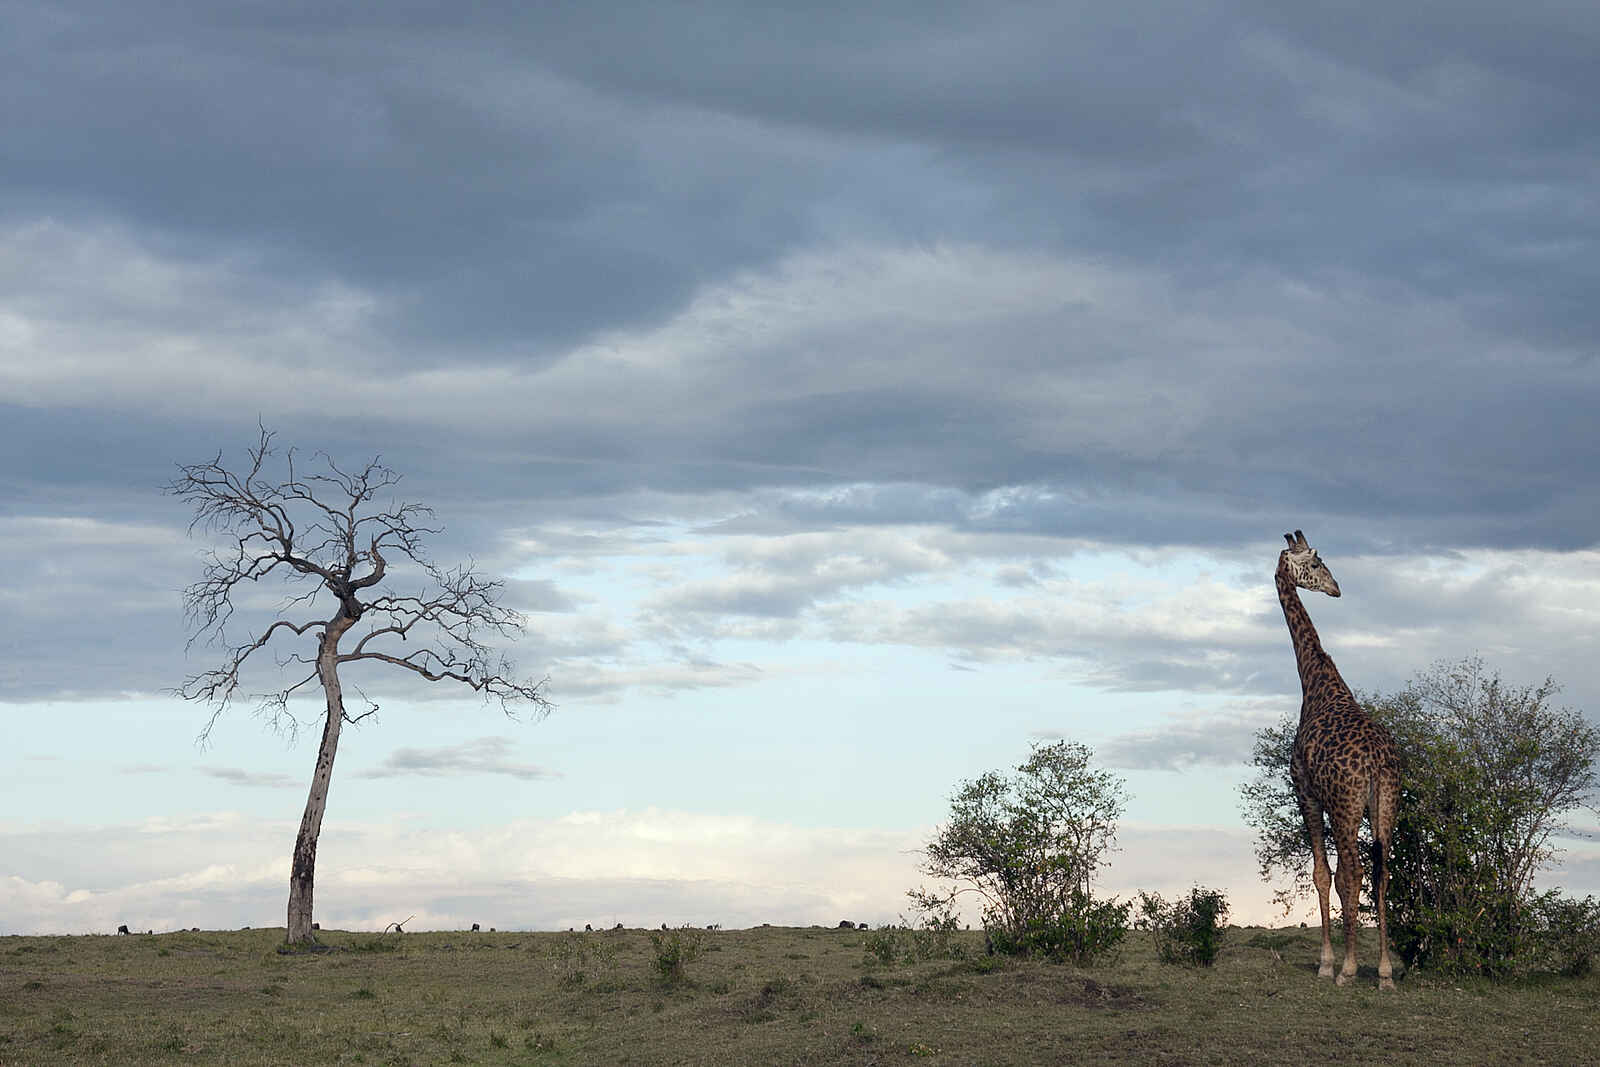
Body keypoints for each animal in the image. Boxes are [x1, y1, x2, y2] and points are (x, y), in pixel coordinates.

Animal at [1276, 530, 1400, 990]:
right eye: (1315, 564)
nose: (1336, 588)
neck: (1315, 682)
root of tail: (1377, 763)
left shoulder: (1306, 793)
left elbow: (1322, 874)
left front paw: (1328, 963)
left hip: (1348, 806)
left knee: (1356, 871)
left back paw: (1348, 969)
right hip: (1387, 802)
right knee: (1382, 871)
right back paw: (1384, 972)